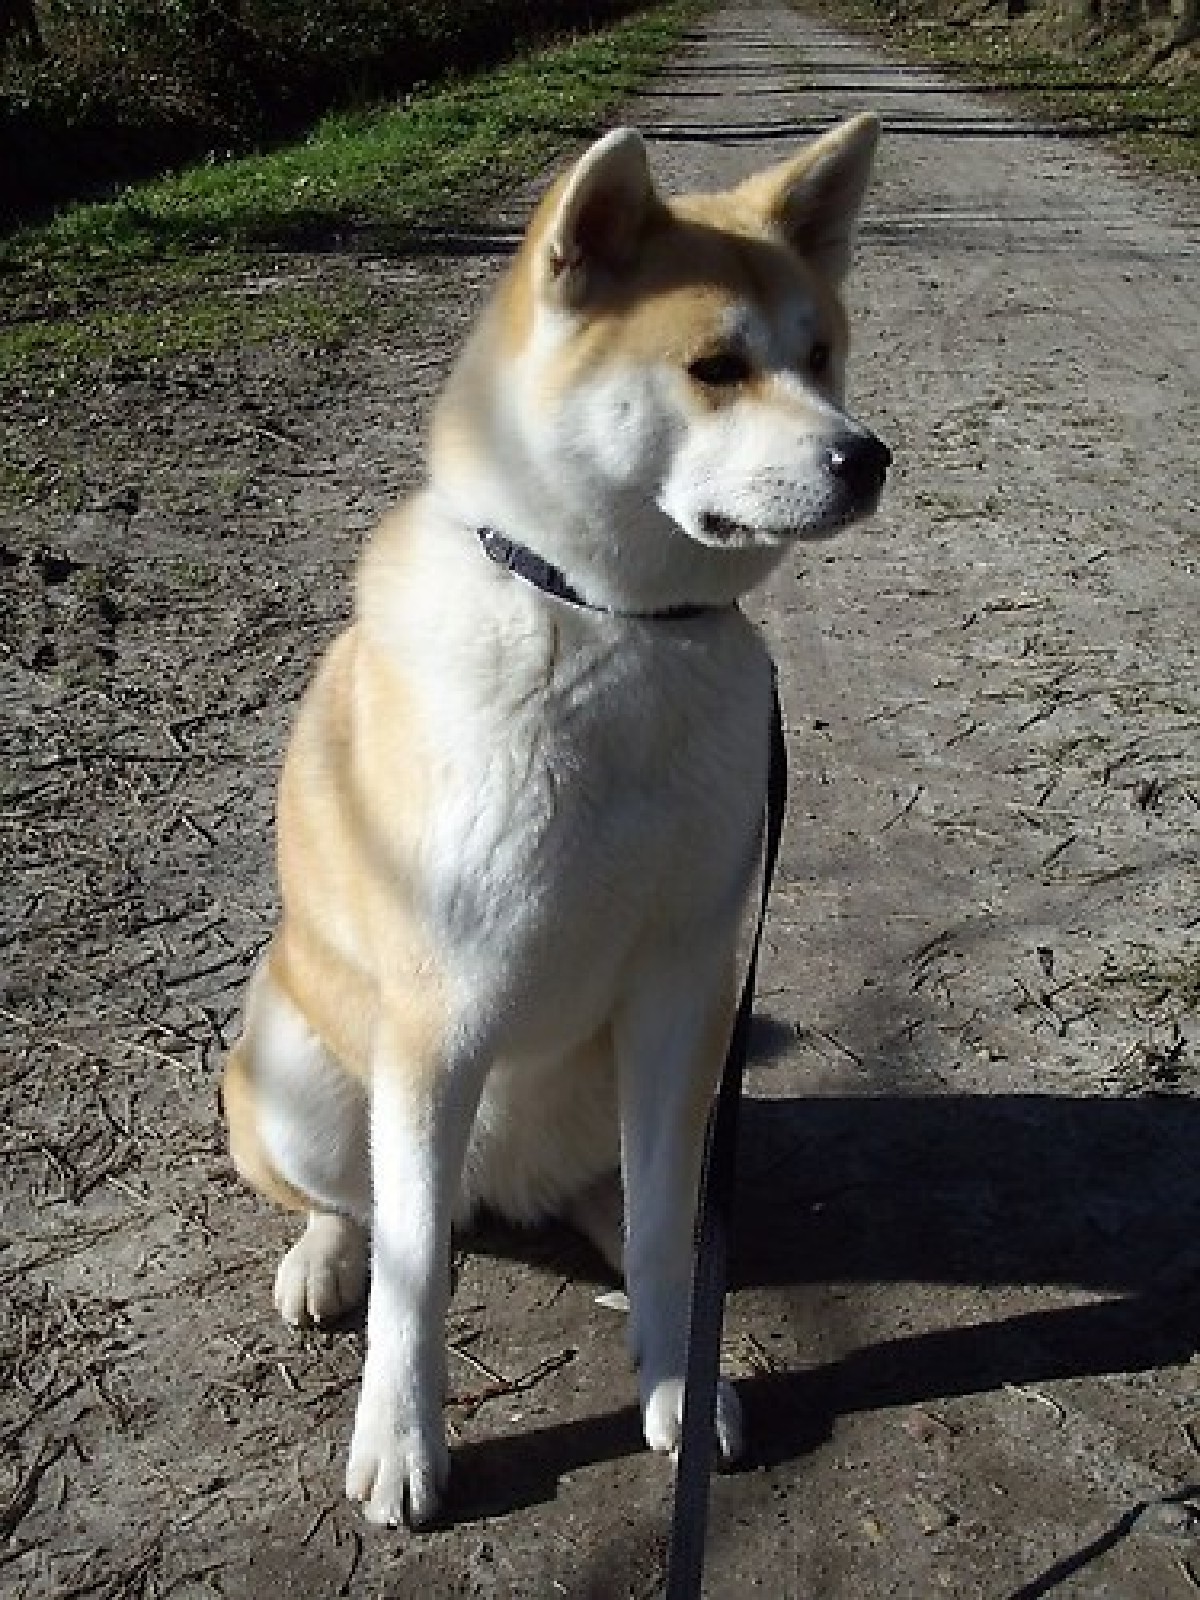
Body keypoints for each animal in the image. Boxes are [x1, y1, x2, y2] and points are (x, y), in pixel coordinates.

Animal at [223, 114, 889, 1529]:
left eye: (819, 356)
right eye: (715, 367)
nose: (866, 456)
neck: (610, 628)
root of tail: (500, 1183)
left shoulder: (683, 991)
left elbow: (665, 1231)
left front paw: (676, 1379)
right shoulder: (438, 1019)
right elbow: (415, 1280)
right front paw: (402, 1438)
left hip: (649, 1075)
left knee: (633, 1204)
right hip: (303, 1073)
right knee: (364, 1208)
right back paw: (325, 1258)